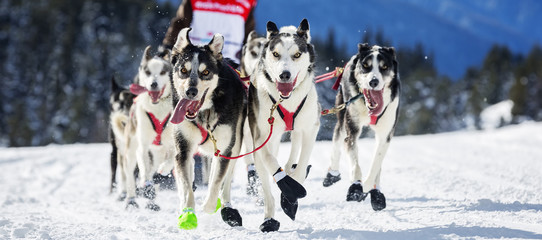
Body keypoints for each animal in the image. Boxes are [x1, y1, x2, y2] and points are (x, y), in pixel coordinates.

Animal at [117, 46, 174, 210]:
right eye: (148, 72)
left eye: (162, 72)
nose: (153, 84)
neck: (158, 110)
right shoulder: (143, 145)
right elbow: (143, 168)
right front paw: (145, 184)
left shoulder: (172, 143)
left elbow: (171, 159)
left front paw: (164, 169)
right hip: (131, 151)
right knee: (132, 174)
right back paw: (131, 199)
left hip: (158, 152)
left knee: (153, 168)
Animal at [170, 27, 246, 230]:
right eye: (183, 70)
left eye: (205, 72)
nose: (191, 91)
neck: (205, 112)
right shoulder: (183, 149)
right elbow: (187, 186)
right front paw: (187, 213)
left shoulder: (226, 149)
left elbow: (216, 181)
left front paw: (209, 205)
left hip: (236, 145)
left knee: (224, 182)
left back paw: (226, 205)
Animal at [249, 19, 320, 232]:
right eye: (275, 54)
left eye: (297, 54)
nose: (285, 75)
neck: (286, 100)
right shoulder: (261, 136)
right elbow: (270, 162)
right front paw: (287, 186)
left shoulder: (311, 129)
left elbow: (301, 164)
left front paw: (292, 193)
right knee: (266, 182)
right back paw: (269, 217)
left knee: (294, 148)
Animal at [324, 43, 404, 212]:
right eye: (366, 66)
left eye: (384, 66)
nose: (373, 82)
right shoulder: (352, 131)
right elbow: (355, 164)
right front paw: (356, 187)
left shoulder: (385, 136)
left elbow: (376, 164)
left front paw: (369, 188)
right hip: (342, 113)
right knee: (337, 139)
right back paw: (332, 173)